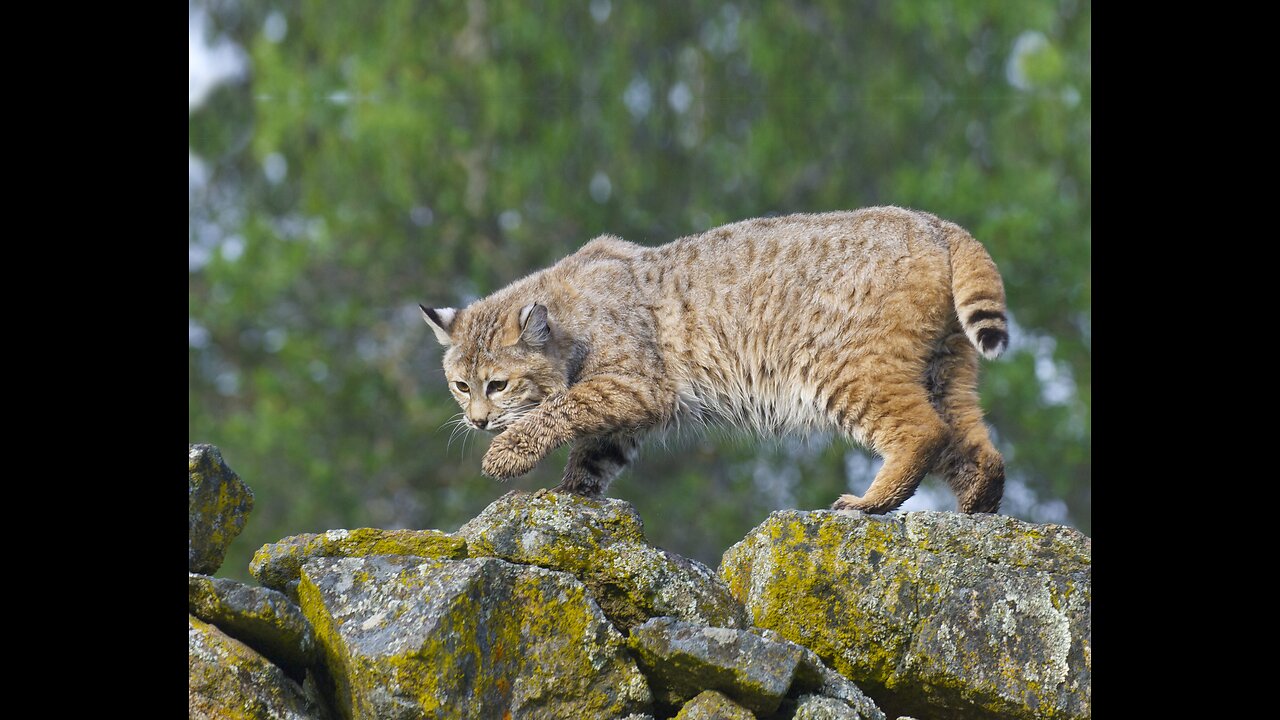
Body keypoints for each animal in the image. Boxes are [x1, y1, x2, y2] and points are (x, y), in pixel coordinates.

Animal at [419, 204, 1008, 512]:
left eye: (497, 385)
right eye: (459, 386)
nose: (477, 421)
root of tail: (935, 221)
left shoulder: (639, 385)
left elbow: (560, 409)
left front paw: (507, 455)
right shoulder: (628, 408)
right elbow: (593, 450)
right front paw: (572, 495)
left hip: (841, 365)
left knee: (923, 431)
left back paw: (870, 505)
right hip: (946, 366)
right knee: (972, 441)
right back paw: (979, 503)